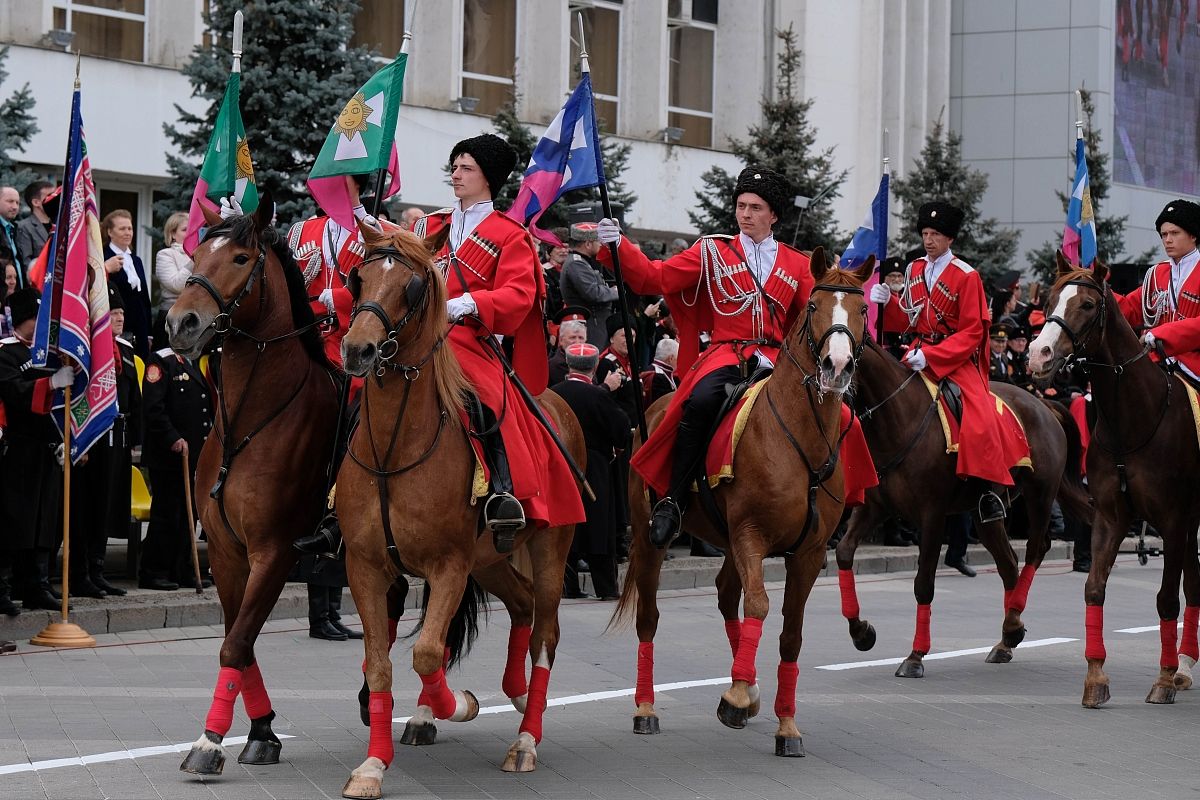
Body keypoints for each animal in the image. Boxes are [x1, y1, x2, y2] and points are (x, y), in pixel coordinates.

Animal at [164, 201, 343, 777]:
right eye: (196, 251)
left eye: (241, 258)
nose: (181, 322)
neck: (251, 419)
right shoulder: (226, 551)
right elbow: (236, 640)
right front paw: (261, 731)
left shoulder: (275, 551)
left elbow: (237, 642)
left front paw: (208, 742)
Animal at [336, 225, 583, 800]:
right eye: (358, 277)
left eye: (412, 287)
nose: (357, 350)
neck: (395, 450)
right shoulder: (366, 567)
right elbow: (379, 664)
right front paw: (373, 765)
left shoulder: (448, 565)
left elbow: (428, 651)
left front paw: (457, 705)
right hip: (489, 561)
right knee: (522, 606)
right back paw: (518, 694)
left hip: (548, 551)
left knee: (544, 634)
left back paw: (525, 738)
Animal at [609, 248, 873, 758]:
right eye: (814, 306)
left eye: (864, 310)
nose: (837, 366)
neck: (800, 439)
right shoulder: (753, 535)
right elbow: (759, 605)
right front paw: (734, 698)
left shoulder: (807, 553)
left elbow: (790, 633)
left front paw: (784, 725)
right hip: (652, 540)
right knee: (650, 618)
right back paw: (647, 708)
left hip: (727, 538)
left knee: (725, 593)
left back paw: (747, 687)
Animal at [830, 335, 1094, 676]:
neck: (899, 420)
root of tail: (1041, 404)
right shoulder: (873, 507)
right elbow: (844, 552)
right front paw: (861, 632)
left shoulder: (931, 515)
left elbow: (924, 583)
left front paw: (915, 656)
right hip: (987, 514)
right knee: (1008, 563)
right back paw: (1009, 633)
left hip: (1040, 494)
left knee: (1036, 549)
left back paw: (1012, 623)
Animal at [1027, 255, 1200, 705]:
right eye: (1049, 300)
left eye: (1088, 305)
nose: (1038, 355)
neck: (1135, 417)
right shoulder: (1110, 516)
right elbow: (1093, 588)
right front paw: (1096, 677)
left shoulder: (1172, 520)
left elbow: (1165, 600)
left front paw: (1162, 678)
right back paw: (1186, 666)